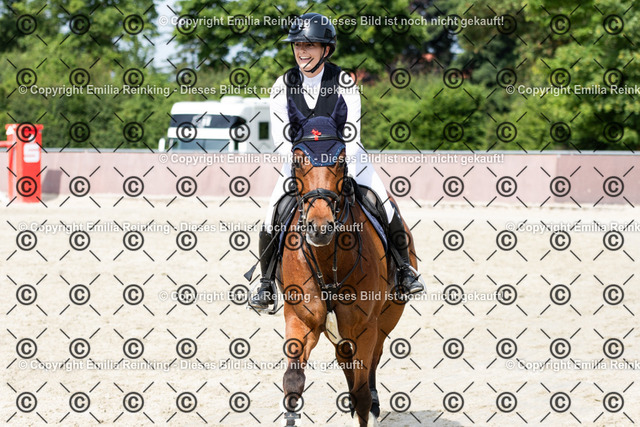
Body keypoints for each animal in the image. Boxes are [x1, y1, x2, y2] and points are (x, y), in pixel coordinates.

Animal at [277, 145, 419, 427]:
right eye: (297, 163)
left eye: (341, 163)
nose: (320, 228)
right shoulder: (300, 321)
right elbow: (293, 383)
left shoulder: (366, 328)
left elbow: (361, 393)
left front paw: (367, 406)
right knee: (345, 359)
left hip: (387, 317)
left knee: (373, 359)